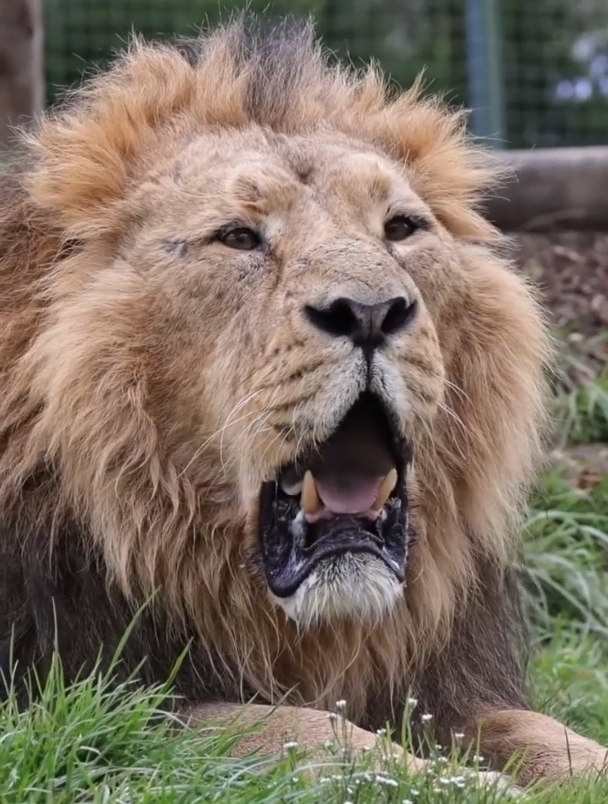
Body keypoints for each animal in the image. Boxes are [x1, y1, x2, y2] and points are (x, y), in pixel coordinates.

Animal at [0, 14, 604, 792]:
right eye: (238, 237)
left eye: (401, 228)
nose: (371, 312)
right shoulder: (95, 700)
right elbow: (309, 732)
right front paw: (469, 787)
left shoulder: (441, 689)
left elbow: (556, 740)